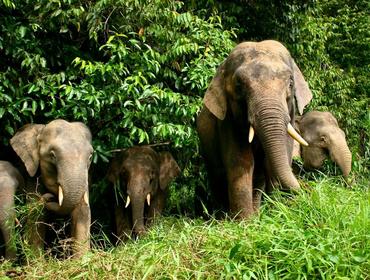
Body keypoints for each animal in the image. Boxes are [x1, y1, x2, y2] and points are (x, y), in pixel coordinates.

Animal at [10, 119, 92, 258]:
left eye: (90, 157)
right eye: (52, 155)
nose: (50, 198)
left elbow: (82, 212)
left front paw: (82, 261)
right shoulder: (33, 177)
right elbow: (36, 217)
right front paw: (37, 261)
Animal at [197, 40, 312, 219]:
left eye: (291, 83)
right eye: (239, 86)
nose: (309, 192)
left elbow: (275, 160)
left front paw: (276, 214)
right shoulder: (228, 120)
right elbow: (240, 162)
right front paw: (244, 222)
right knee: (217, 177)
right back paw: (222, 217)